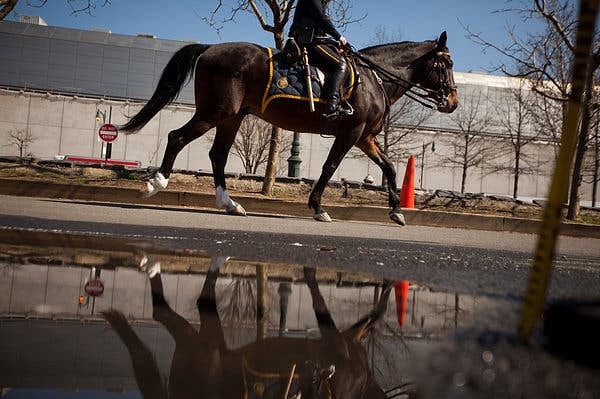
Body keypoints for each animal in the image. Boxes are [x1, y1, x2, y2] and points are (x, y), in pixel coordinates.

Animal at [102, 258, 396, 398]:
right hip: (202, 348)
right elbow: (320, 301)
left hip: (209, 345)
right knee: (169, 311)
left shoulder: (350, 339)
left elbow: (375, 312)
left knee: (196, 304)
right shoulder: (337, 342)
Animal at [122, 32, 460, 225]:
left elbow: (389, 167)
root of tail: (210, 48)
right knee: (177, 137)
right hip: (215, 112)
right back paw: (155, 183)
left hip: (231, 117)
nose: (453, 101)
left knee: (218, 155)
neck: (374, 78)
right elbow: (329, 167)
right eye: (446, 64)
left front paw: (396, 211)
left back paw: (229, 204)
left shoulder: (366, 137)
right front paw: (318, 207)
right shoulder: (351, 133)